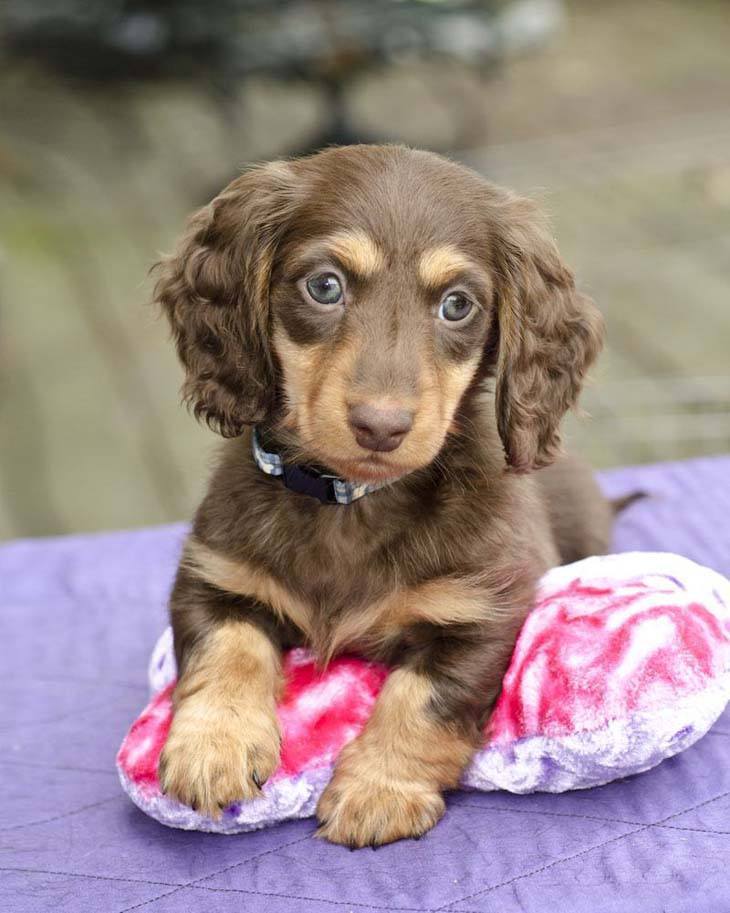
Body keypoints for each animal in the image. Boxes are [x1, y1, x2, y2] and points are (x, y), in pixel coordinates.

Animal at [155, 144, 608, 848]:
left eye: (457, 304)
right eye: (324, 286)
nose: (381, 426)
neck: (354, 502)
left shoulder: (482, 612)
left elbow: (422, 700)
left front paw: (379, 789)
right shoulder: (214, 575)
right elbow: (225, 647)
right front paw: (214, 746)